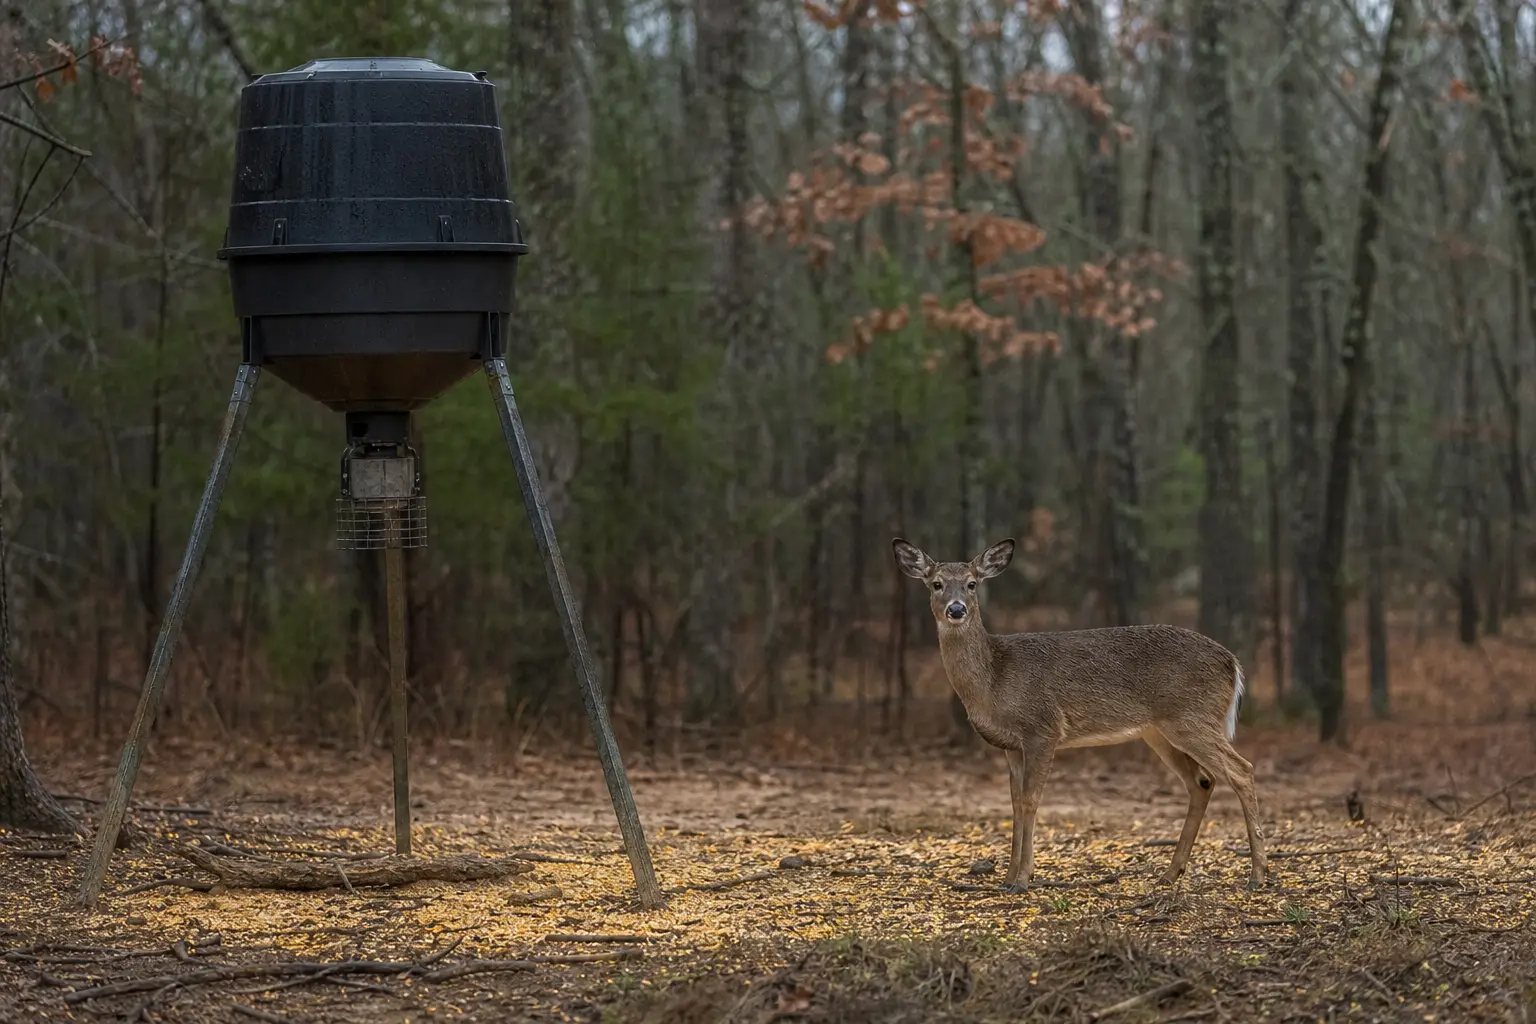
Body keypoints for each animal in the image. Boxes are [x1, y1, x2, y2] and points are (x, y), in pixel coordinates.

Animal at [893, 537, 1267, 892]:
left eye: (972, 583)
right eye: (936, 584)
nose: (956, 609)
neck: (994, 678)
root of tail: (1232, 662)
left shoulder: (1043, 728)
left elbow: (1031, 800)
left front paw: (1023, 880)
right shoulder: (1011, 746)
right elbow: (1014, 804)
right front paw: (1008, 877)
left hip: (1193, 718)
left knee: (1241, 770)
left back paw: (1257, 875)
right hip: (1160, 731)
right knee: (1202, 781)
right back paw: (1170, 873)